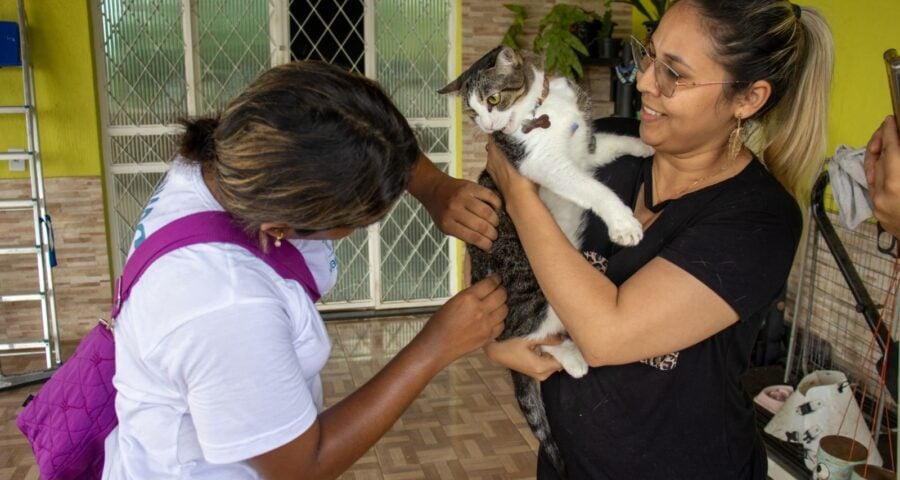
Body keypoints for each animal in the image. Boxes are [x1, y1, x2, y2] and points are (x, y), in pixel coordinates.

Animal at [438, 46, 652, 476]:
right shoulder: (542, 165)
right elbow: (592, 189)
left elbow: (607, 144)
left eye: (491, 101)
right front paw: (623, 223)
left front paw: (643, 146)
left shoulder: (585, 152)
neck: (542, 108)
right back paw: (573, 357)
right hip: (535, 292)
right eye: (471, 113)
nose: (487, 126)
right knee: (522, 339)